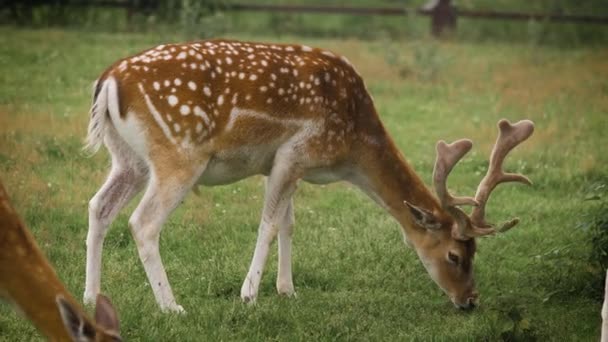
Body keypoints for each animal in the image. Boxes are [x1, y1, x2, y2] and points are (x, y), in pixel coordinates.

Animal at [82, 37, 536, 312]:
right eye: (455, 255)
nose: (470, 300)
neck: (350, 147)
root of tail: (108, 81)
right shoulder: (294, 152)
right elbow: (268, 223)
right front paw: (249, 295)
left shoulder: (283, 163)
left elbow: (288, 222)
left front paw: (287, 289)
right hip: (178, 154)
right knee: (142, 222)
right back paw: (172, 306)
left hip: (128, 159)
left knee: (98, 207)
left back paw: (90, 297)